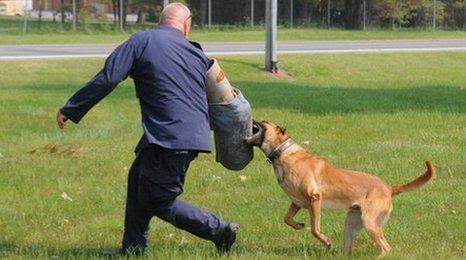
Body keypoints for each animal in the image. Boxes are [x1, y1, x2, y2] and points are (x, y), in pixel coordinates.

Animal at [246, 121, 436, 256]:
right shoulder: (297, 202)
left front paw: (326, 242)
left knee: (386, 248)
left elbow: (315, 229)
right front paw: (298, 225)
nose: (252, 118)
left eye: (263, 122)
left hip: (370, 222)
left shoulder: (315, 198)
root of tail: (389, 188)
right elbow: (287, 218)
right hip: (351, 224)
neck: (284, 153)